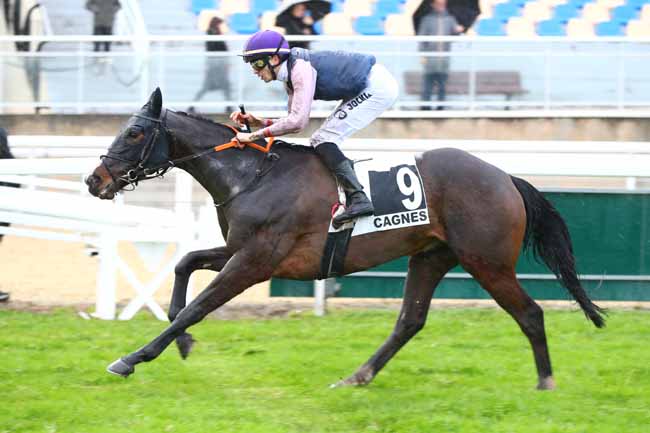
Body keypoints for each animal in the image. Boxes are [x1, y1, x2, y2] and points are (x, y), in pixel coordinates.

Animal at [87, 88, 604, 388]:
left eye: (134, 133)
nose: (95, 181)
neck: (251, 175)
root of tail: (504, 177)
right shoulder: (241, 251)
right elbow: (184, 265)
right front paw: (183, 342)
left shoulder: (254, 261)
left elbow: (199, 304)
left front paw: (132, 358)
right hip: (432, 256)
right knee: (409, 321)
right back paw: (358, 376)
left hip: (487, 261)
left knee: (530, 313)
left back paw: (545, 383)